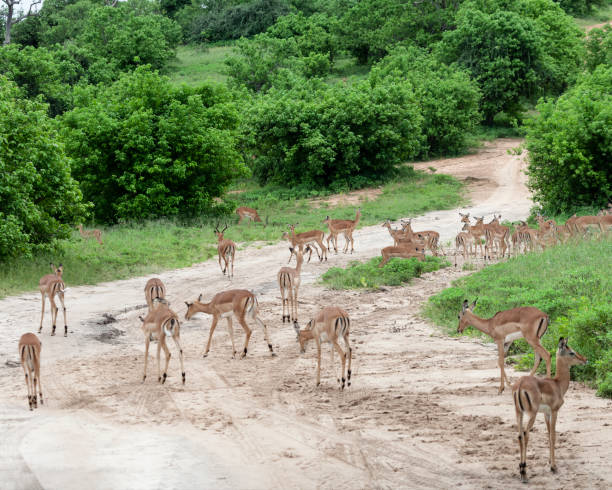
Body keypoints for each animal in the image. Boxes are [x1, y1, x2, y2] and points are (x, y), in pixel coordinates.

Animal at [512, 336, 588, 482]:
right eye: (571, 352)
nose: (585, 359)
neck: (557, 384)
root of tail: (520, 385)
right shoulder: (554, 411)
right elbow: (553, 435)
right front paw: (553, 467)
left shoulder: (546, 414)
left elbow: (548, 434)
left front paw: (550, 462)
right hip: (532, 414)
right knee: (526, 433)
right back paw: (524, 473)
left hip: (519, 413)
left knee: (519, 435)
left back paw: (520, 469)